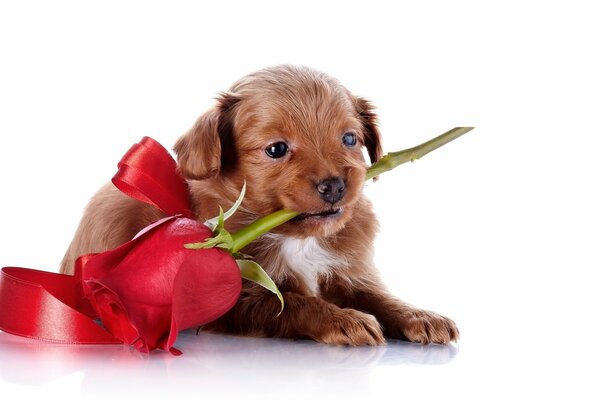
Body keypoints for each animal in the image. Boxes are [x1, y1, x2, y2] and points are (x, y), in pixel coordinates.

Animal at [59, 65, 460, 344]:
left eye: (349, 139)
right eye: (276, 149)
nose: (335, 185)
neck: (297, 236)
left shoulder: (347, 271)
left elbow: (378, 297)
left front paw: (420, 315)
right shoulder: (235, 297)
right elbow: (294, 302)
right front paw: (344, 319)